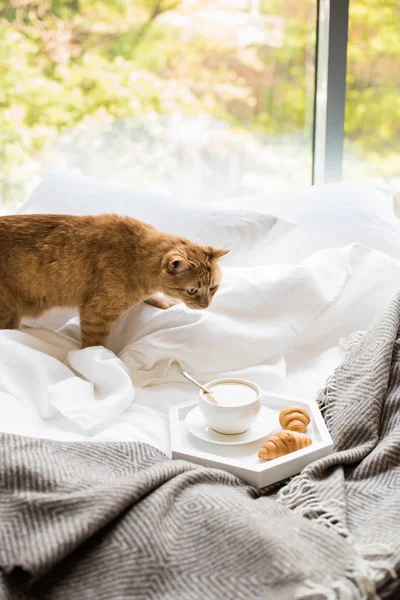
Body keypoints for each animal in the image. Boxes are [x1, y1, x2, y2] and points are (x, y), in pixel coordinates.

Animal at [0, 214, 228, 346]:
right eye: (192, 290)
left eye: (213, 288)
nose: (206, 305)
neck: (136, 255)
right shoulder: (96, 313)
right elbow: (94, 345)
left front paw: (162, 301)